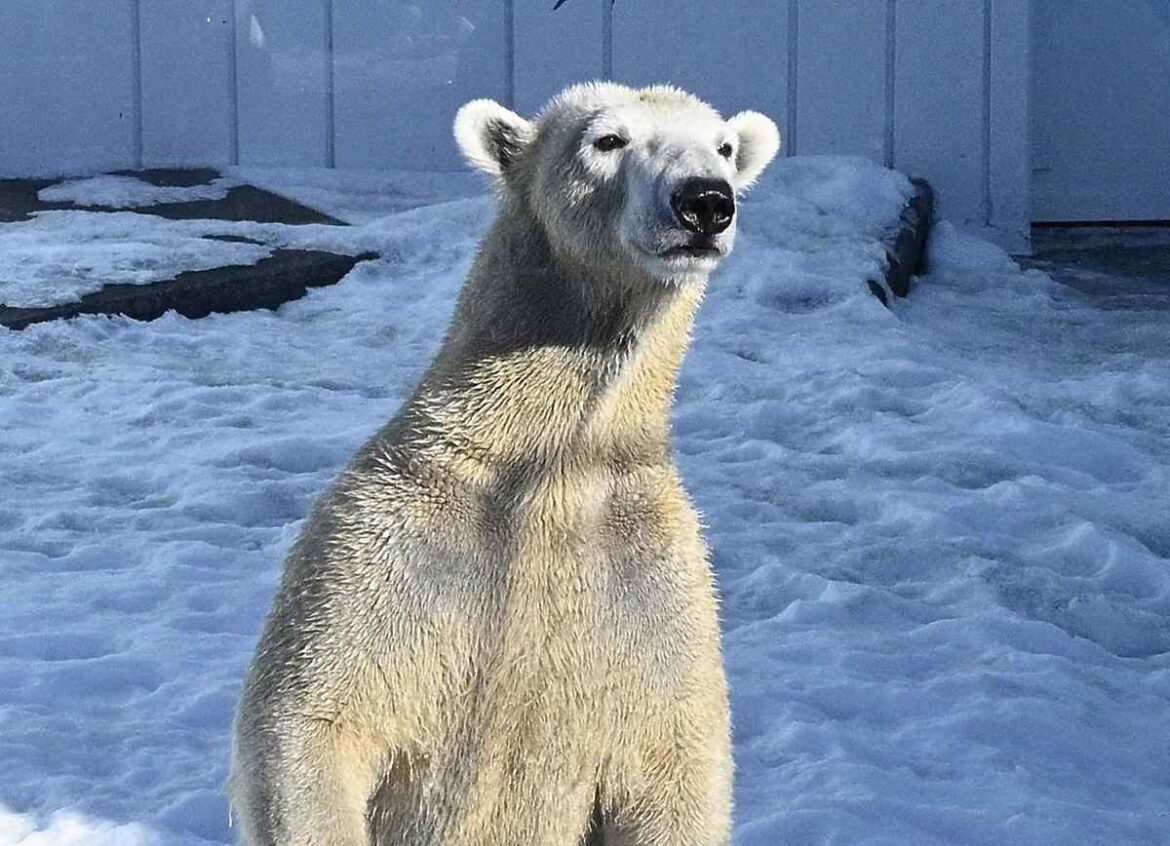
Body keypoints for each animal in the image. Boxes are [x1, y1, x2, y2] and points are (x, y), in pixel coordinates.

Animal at [230, 81, 780, 846]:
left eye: (724, 147)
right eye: (608, 139)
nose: (705, 201)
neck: (552, 463)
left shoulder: (647, 574)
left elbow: (675, 761)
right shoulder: (394, 540)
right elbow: (312, 717)